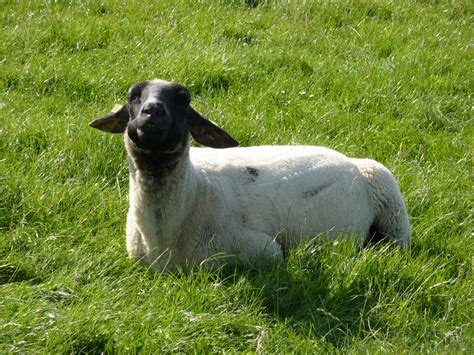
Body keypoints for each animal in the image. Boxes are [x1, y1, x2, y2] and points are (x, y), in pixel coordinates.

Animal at [90, 79, 412, 272]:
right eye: (134, 96)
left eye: (183, 99)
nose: (152, 112)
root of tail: (347, 159)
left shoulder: (262, 249)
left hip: (390, 201)